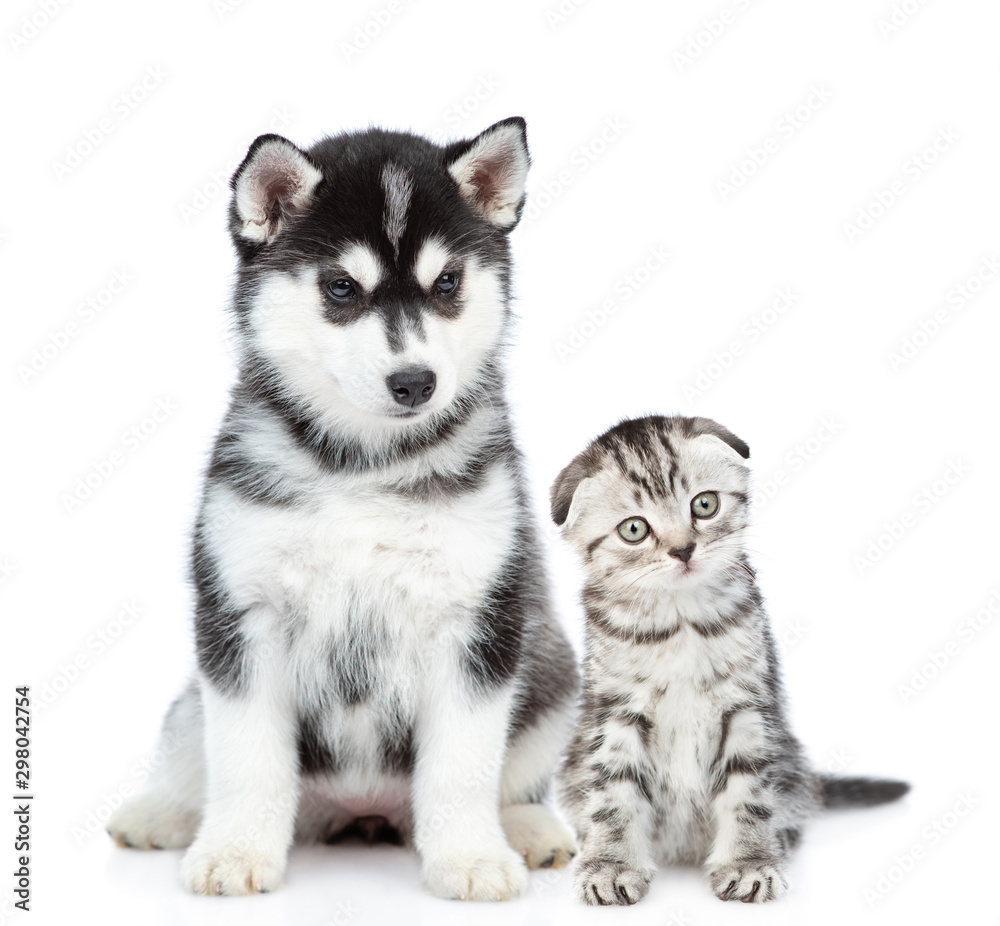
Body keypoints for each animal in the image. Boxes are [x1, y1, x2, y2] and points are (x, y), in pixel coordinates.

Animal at [107, 119, 580, 904]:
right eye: (340, 287)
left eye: (447, 284)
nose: (415, 381)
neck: (364, 464)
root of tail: (361, 810)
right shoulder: (242, 616)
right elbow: (245, 756)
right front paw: (236, 851)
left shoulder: (477, 620)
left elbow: (463, 765)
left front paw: (470, 858)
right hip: (193, 696)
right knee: (191, 752)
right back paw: (162, 813)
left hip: (551, 671)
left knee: (516, 772)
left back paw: (526, 826)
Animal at [552, 418, 912, 908]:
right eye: (634, 529)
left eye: (704, 504)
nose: (683, 550)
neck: (680, 621)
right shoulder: (615, 713)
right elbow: (613, 792)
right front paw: (610, 864)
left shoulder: (745, 707)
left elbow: (748, 792)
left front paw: (749, 862)